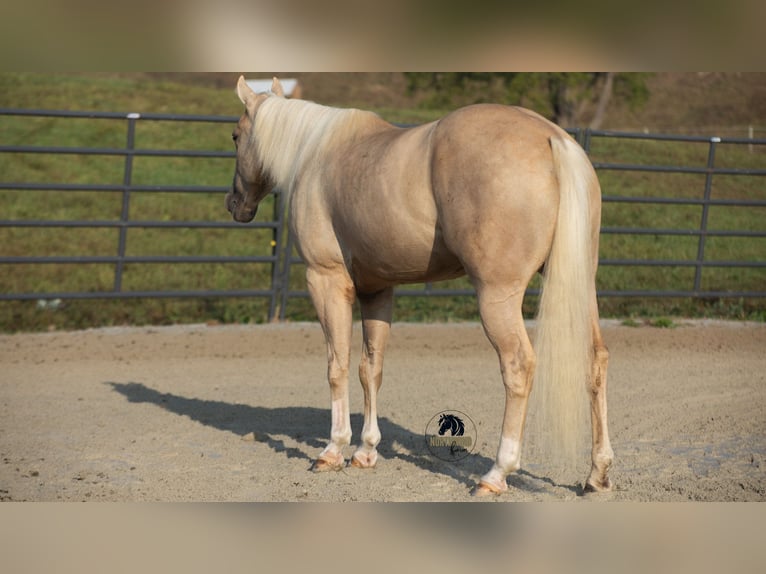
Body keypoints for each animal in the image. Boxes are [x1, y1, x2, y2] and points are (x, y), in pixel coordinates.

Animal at [226, 76, 613, 495]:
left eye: (235, 136)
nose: (234, 203)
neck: (317, 155)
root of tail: (552, 138)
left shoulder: (326, 280)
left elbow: (337, 366)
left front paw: (333, 450)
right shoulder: (376, 290)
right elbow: (370, 368)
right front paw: (366, 451)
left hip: (497, 298)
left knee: (518, 366)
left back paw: (496, 473)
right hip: (580, 287)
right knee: (595, 360)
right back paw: (597, 473)